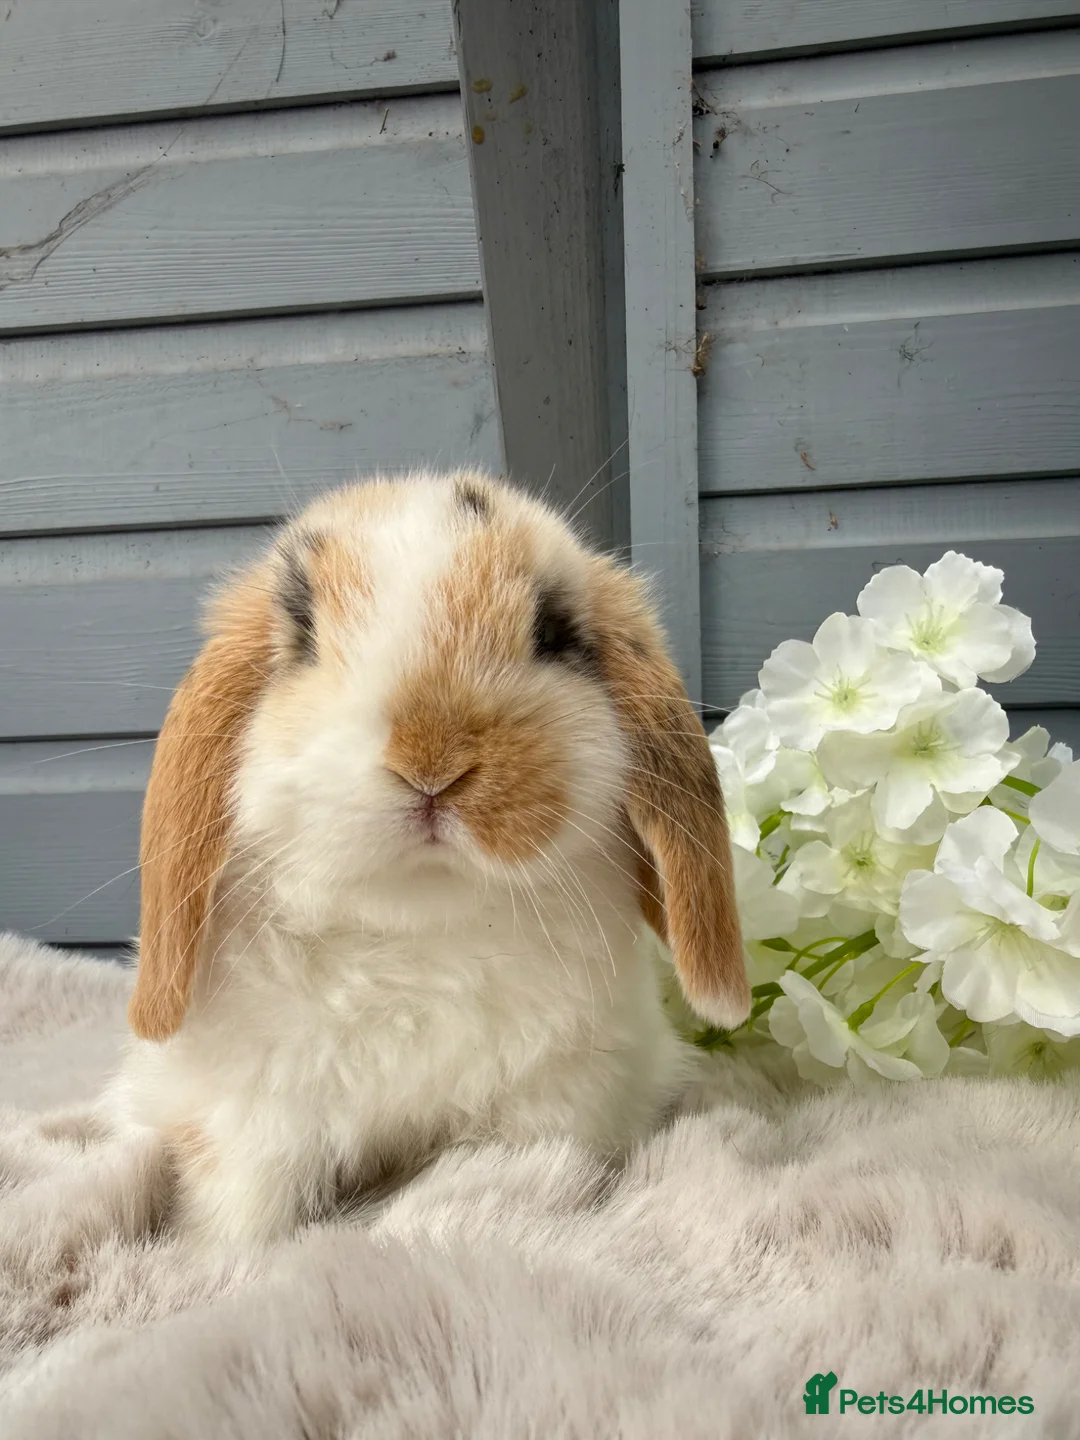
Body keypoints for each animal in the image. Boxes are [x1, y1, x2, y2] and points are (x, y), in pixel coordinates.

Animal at [106, 471, 748, 1247]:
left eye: (554, 631)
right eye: (305, 630)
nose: (431, 762)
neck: (417, 925)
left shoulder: (556, 1101)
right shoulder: (251, 1123)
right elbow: (252, 1215)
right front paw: (231, 1259)